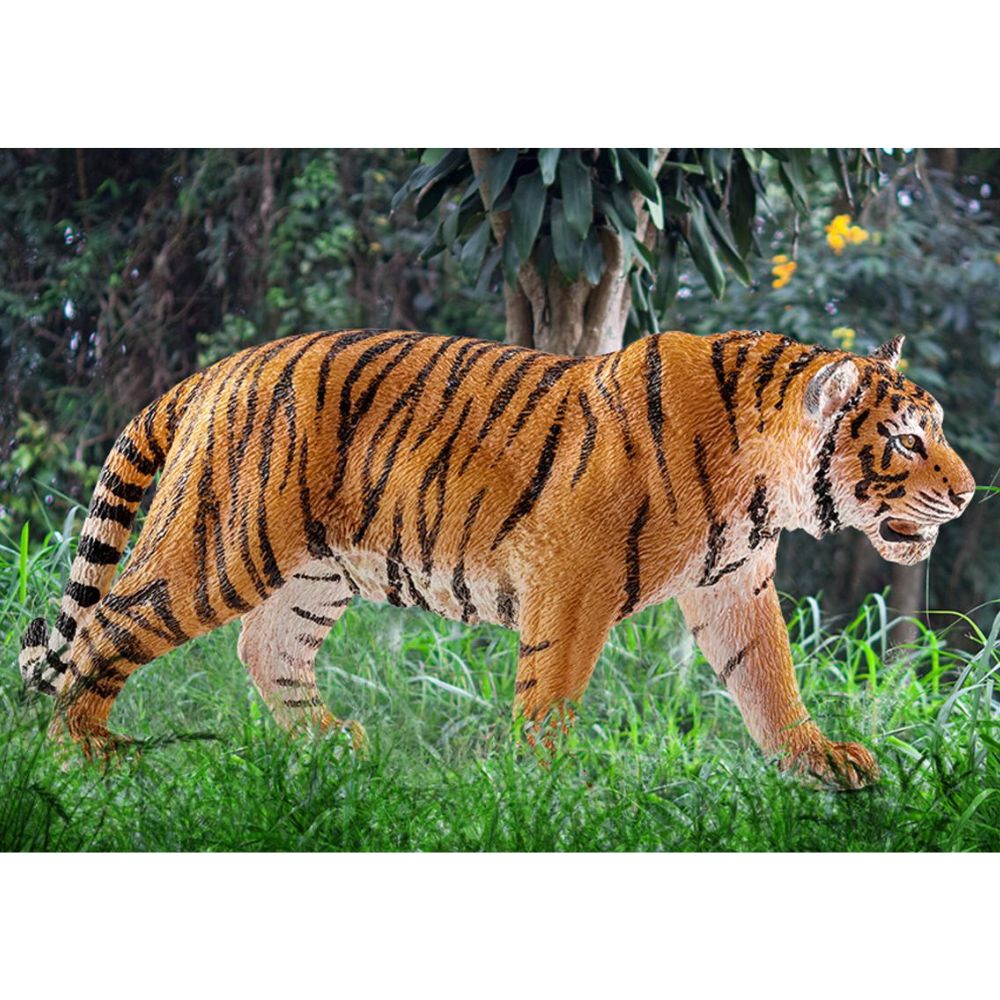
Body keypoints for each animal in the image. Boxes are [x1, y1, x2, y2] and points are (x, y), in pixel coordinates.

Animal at [18, 327, 975, 788]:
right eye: (905, 439)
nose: (969, 494)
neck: (765, 483)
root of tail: (215, 370)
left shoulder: (734, 586)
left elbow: (769, 679)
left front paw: (818, 763)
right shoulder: (572, 579)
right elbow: (550, 691)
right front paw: (545, 792)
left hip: (314, 571)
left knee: (266, 647)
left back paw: (333, 749)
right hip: (222, 548)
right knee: (108, 624)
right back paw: (84, 757)